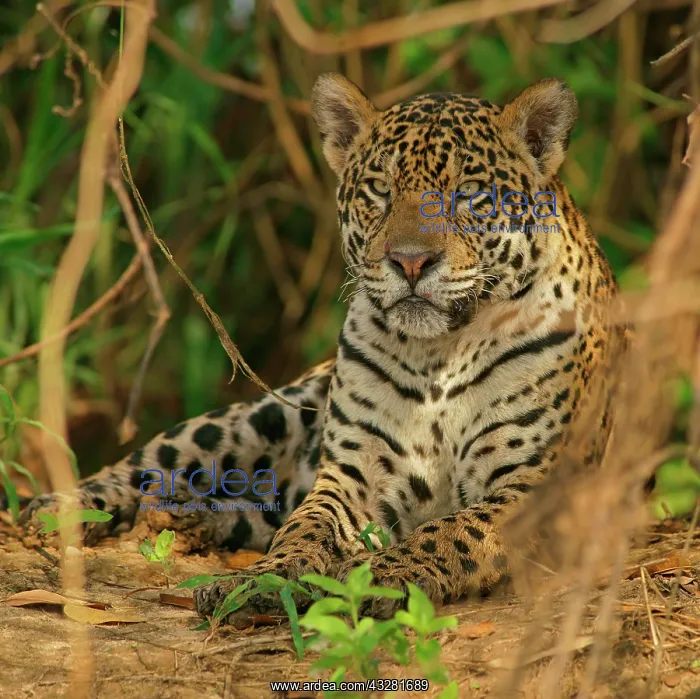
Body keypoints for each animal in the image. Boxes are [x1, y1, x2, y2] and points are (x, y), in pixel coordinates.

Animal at [18, 73, 621, 622]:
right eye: (380, 190)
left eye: (468, 193)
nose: (410, 261)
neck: (440, 354)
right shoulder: (357, 470)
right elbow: (307, 526)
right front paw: (265, 581)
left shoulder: (536, 482)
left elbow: (451, 531)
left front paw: (382, 573)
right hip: (265, 414)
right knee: (156, 464)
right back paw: (62, 510)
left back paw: (192, 517)